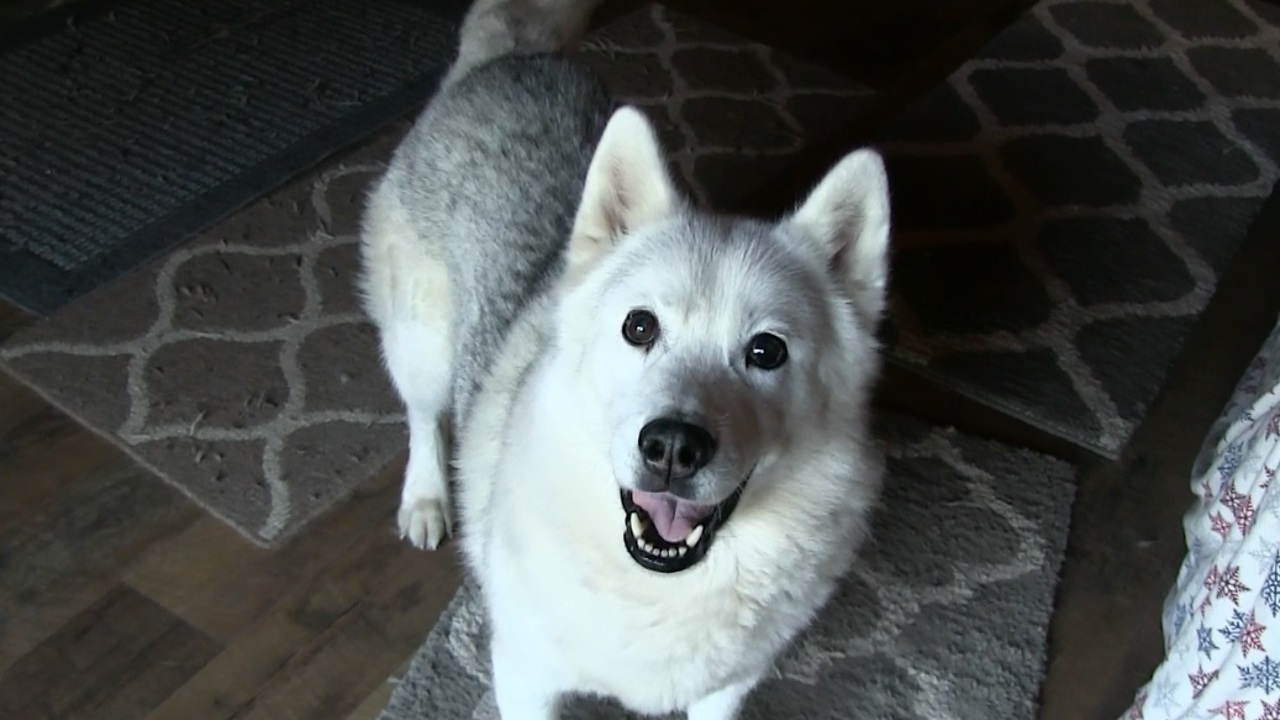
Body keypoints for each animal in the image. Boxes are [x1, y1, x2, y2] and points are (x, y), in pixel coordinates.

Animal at [360, 2, 890, 712]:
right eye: (639, 327)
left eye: (766, 350)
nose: (672, 447)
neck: (660, 587)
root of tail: (508, 61)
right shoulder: (524, 677)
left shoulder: (726, 690)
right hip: (420, 343)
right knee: (423, 416)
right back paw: (426, 500)